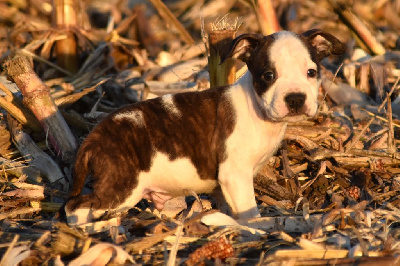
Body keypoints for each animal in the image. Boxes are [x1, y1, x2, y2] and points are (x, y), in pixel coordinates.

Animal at [65, 29, 344, 225]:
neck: (257, 109)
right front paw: (257, 228)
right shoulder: (235, 175)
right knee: (76, 206)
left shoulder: (226, 185)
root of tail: (94, 137)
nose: (295, 98)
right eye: (268, 76)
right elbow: (250, 212)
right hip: (122, 187)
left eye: (311, 72)